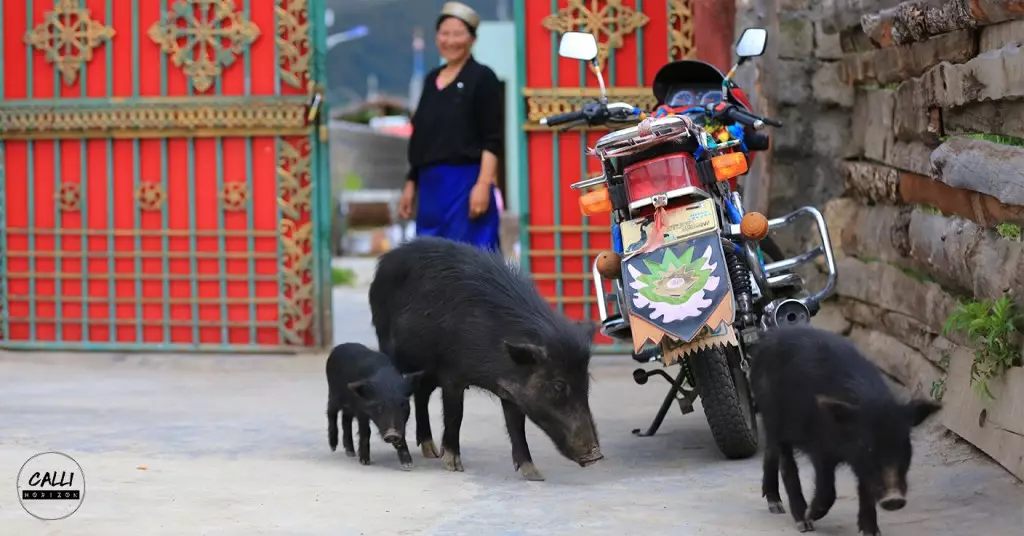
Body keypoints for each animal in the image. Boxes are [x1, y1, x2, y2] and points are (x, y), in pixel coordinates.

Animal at [368, 236, 603, 481]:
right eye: (558, 385)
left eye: (586, 382)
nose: (596, 455)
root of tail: (385, 261)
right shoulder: (452, 376)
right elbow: (455, 415)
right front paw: (453, 465)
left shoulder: (511, 390)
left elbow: (516, 426)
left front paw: (534, 474)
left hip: (428, 370)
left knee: (422, 393)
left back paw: (430, 452)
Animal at [749, 325, 941, 536]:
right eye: (868, 446)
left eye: (905, 445)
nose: (894, 499)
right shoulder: (820, 448)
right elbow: (828, 489)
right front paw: (811, 515)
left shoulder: (861, 464)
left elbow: (865, 489)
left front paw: (872, 533)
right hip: (773, 417)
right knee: (786, 465)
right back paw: (802, 522)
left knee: (770, 453)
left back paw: (776, 506)